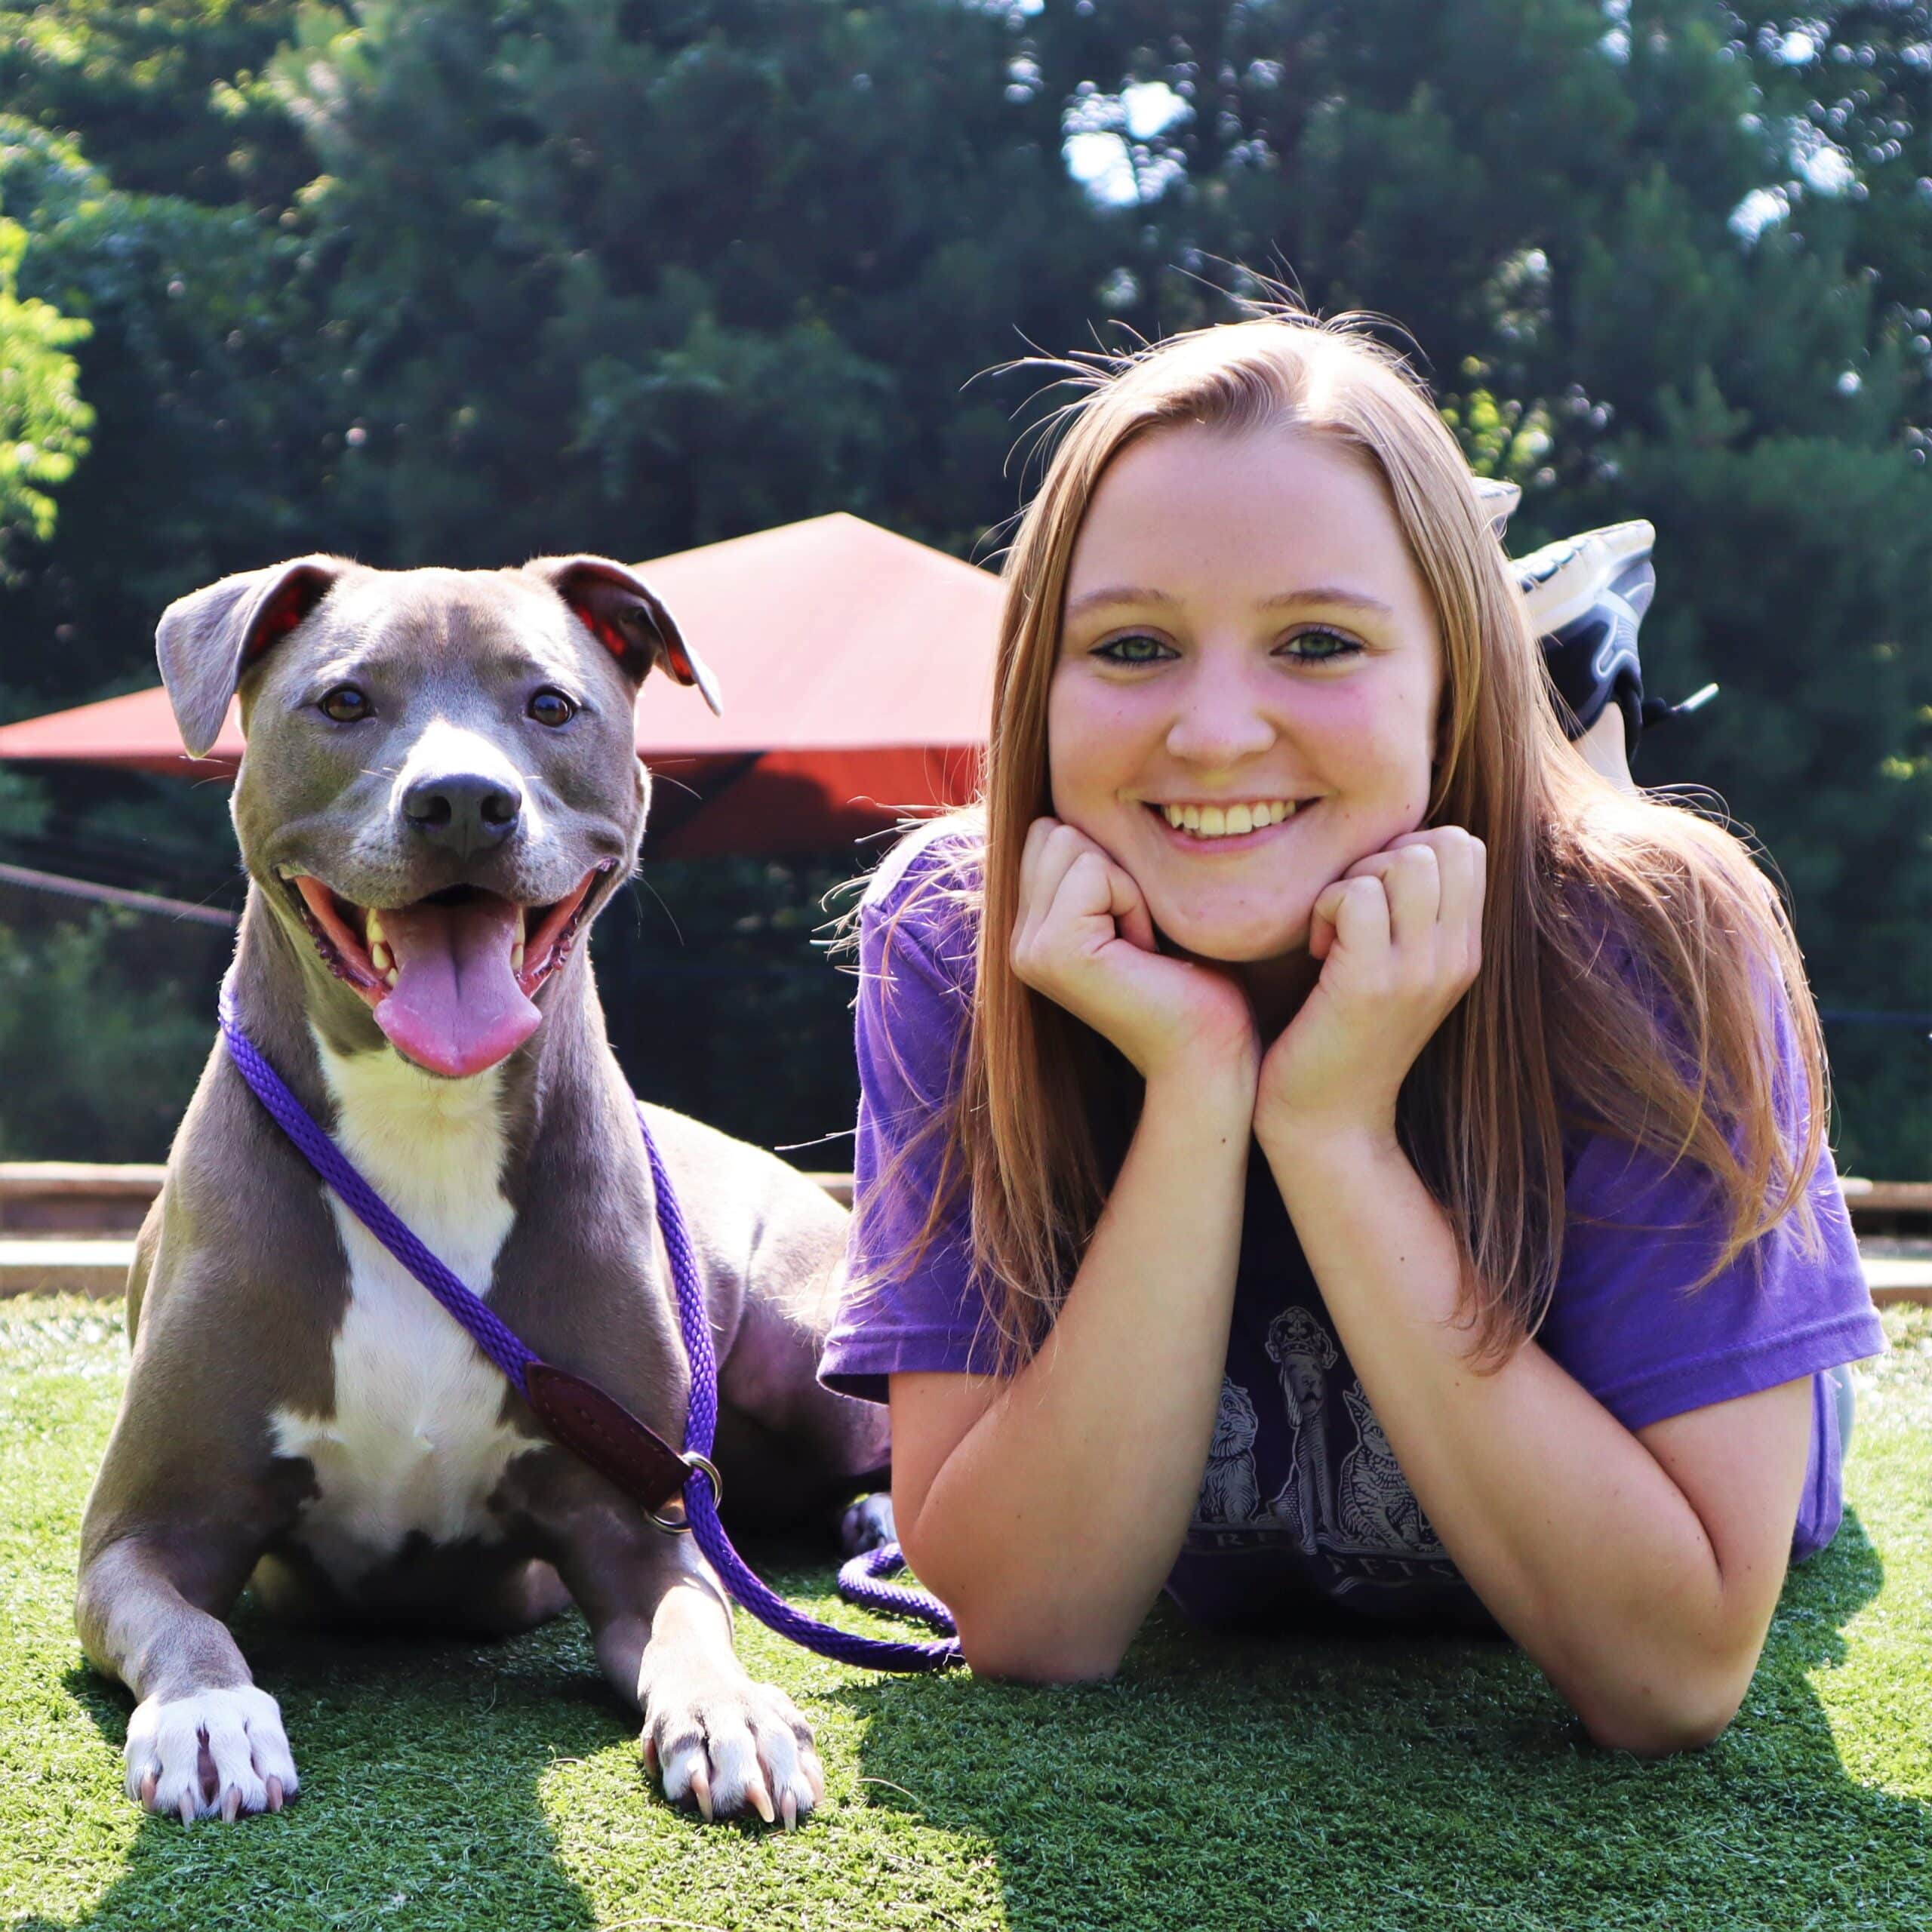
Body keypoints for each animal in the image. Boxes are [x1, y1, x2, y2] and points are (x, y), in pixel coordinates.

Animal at [75, 556, 888, 1823]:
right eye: (345, 700)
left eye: (550, 705)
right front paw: (213, 1715)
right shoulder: (142, 1531)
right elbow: (185, 1626)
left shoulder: (635, 1526)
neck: (426, 1133)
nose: (461, 800)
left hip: (800, 1351)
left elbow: (692, 1622)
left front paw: (734, 1711)